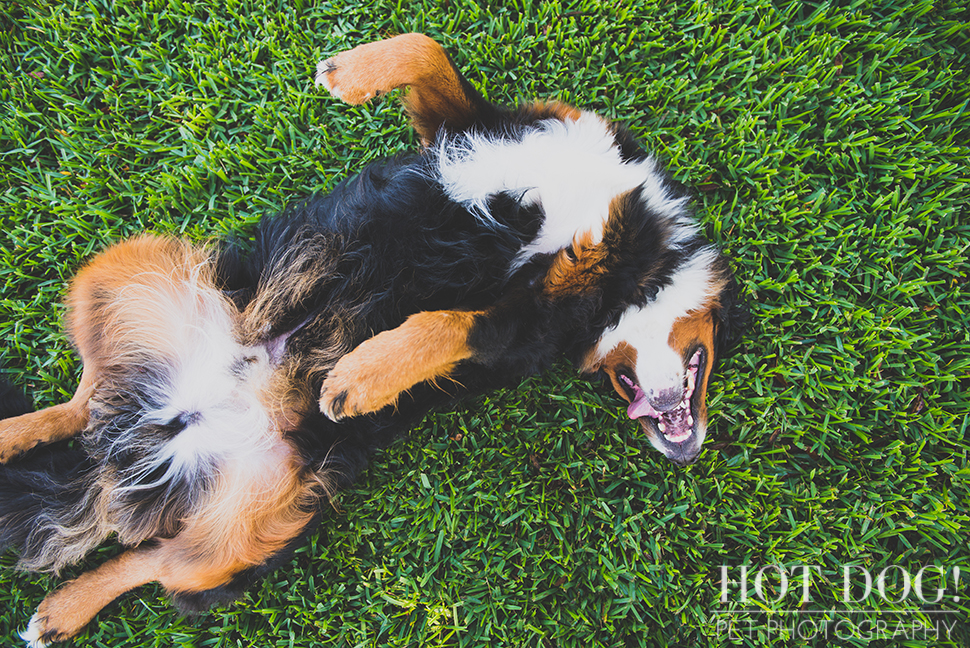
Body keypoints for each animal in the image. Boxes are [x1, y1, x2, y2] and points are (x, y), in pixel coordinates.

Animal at [0, 34, 740, 644]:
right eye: (712, 362)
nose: (690, 451)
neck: (649, 255)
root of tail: (164, 427)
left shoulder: (526, 323)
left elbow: (445, 324)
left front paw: (358, 378)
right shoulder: (473, 128)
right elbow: (428, 51)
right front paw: (348, 72)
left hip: (247, 532)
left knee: (149, 559)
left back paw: (62, 607)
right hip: (124, 264)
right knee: (82, 400)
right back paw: (16, 442)